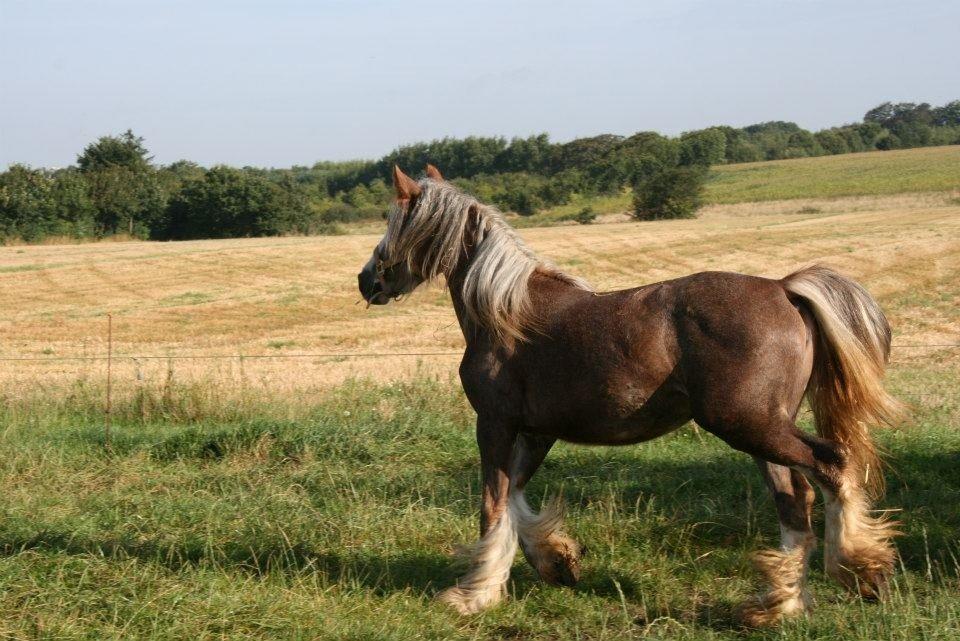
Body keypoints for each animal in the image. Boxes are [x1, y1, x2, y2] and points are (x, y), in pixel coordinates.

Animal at [356, 165, 904, 624]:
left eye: (394, 220)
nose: (367, 280)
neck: (506, 313)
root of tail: (785, 288)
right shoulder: (535, 433)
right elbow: (514, 501)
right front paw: (557, 563)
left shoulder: (495, 424)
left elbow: (492, 506)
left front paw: (474, 594)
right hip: (761, 431)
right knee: (796, 501)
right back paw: (781, 604)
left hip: (750, 426)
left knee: (832, 466)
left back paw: (860, 571)